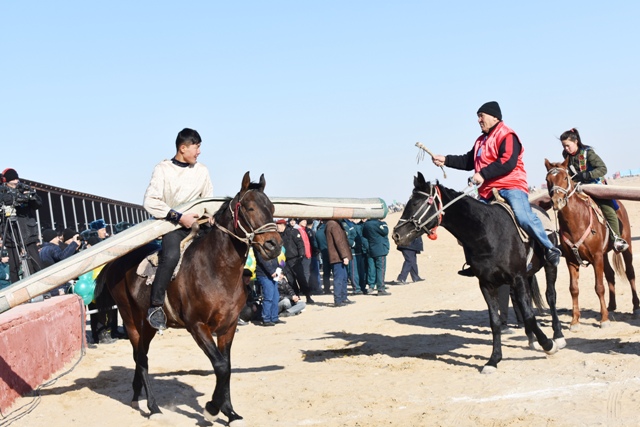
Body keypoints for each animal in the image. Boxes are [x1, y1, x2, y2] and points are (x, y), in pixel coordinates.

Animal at [96, 172, 282, 426]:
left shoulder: (228, 327)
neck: (216, 269)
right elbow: (221, 366)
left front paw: (230, 413)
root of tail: (115, 262)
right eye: (250, 207)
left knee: (140, 356)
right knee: (141, 358)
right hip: (130, 319)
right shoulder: (197, 326)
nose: (274, 245)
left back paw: (136, 397)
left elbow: (227, 367)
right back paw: (153, 407)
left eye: (272, 207)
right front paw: (212, 408)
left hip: (148, 325)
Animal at [392, 172, 564, 372]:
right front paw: (493, 360)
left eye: (416, 203)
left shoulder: (518, 278)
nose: (396, 234)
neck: (488, 232)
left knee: (551, 295)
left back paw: (558, 336)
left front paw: (548, 344)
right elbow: (496, 321)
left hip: (548, 266)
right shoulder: (487, 284)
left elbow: (529, 315)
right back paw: (531, 339)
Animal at [544, 159, 636, 330]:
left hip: (625, 249)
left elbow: (599, 287)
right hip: (604, 255)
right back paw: (611, 306)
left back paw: (636, 307)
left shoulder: (596, 257)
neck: (577, 222)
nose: (557, 201)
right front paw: (575, 321)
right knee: (610, 275)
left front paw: (604, 320)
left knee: (630, 273)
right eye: (548, 180)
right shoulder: (572, 261)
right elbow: (574, 289)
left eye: (565, 178)